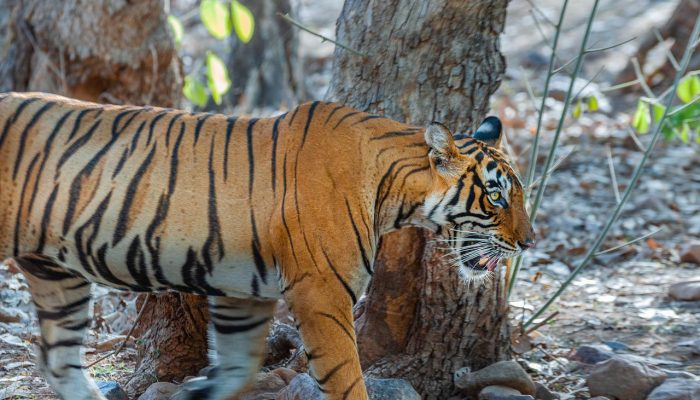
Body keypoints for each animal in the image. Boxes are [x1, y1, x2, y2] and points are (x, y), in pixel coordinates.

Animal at [0, 92, 535, 400]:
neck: (395, 191)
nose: (529, 242)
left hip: (56, 274)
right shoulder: (322, 294)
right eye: (495, 196)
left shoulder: (244, 290)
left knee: (59, 359)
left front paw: (198, 392)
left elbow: (239, 368)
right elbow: (348, 377)